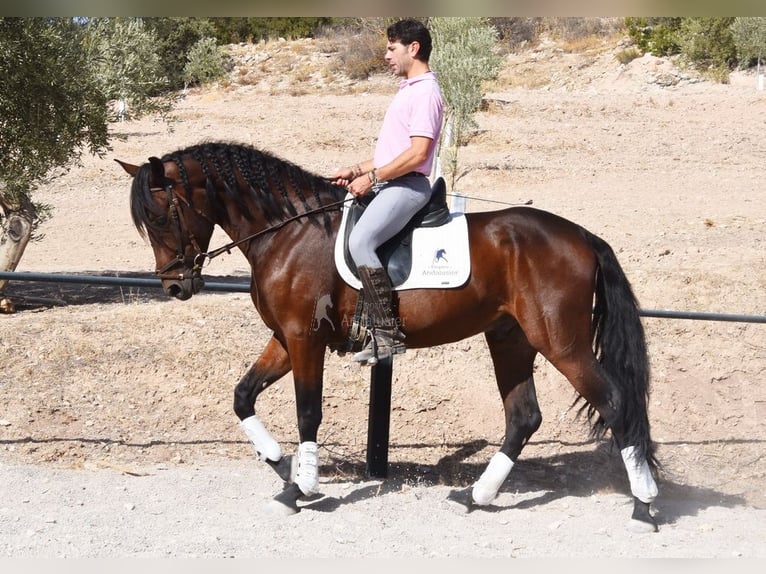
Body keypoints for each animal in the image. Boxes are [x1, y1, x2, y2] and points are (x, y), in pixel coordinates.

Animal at [117, 141, 660, 531]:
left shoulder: (304, 338)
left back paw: (644, 507)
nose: (174, 286)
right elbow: (242, 395)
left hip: (560, 343)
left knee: (615, 404)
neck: (287, 231)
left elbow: (307, 412)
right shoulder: (283, 338)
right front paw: (276, 461)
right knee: (524, 416)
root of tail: (582, 236)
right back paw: (476, 496)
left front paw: (300, 489)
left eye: (161, 217)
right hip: (510, 338)